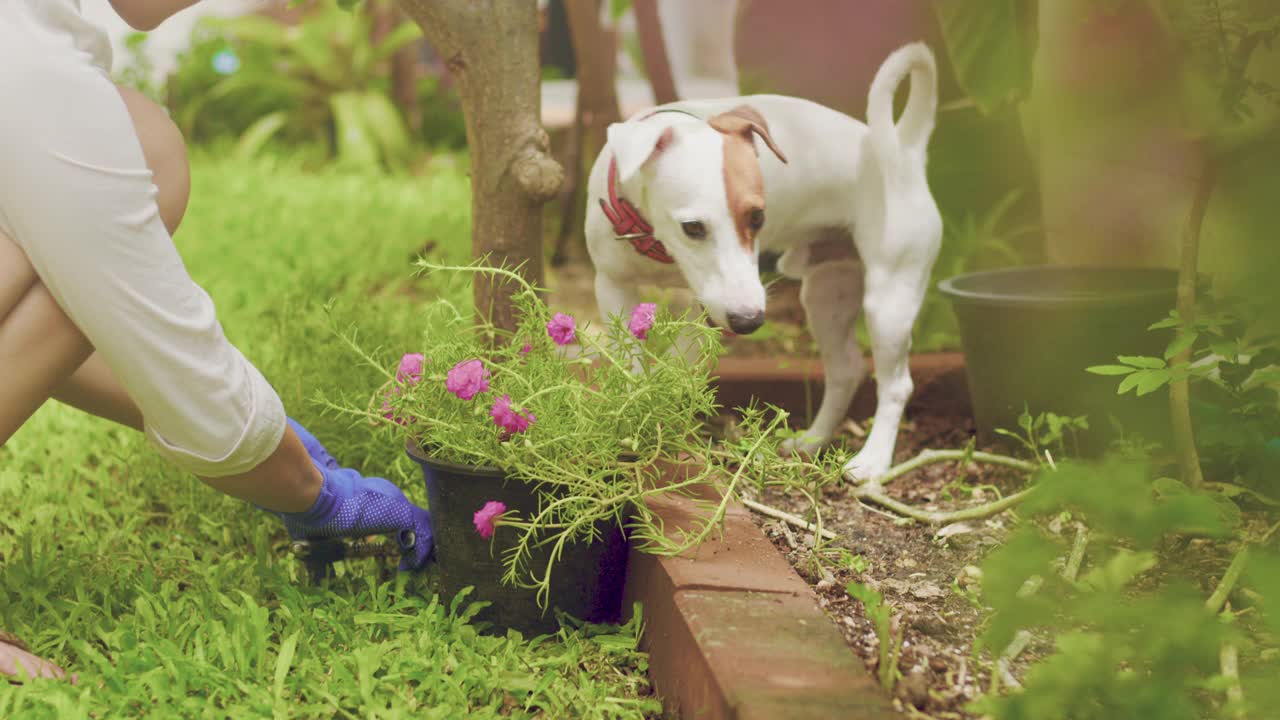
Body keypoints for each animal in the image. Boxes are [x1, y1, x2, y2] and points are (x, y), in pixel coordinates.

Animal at [586, 41, 947, 479]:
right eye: (693, 227)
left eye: (758, 217)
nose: (749, 321)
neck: (652, 241)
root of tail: (907, 152)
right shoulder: (612, 286)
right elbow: (630, 366)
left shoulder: (698, 308)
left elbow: (678, 365)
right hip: (827, 295)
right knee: (847, 369)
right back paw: (811, 442)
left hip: (889, 303)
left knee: (896, 384)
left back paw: (873, 460)